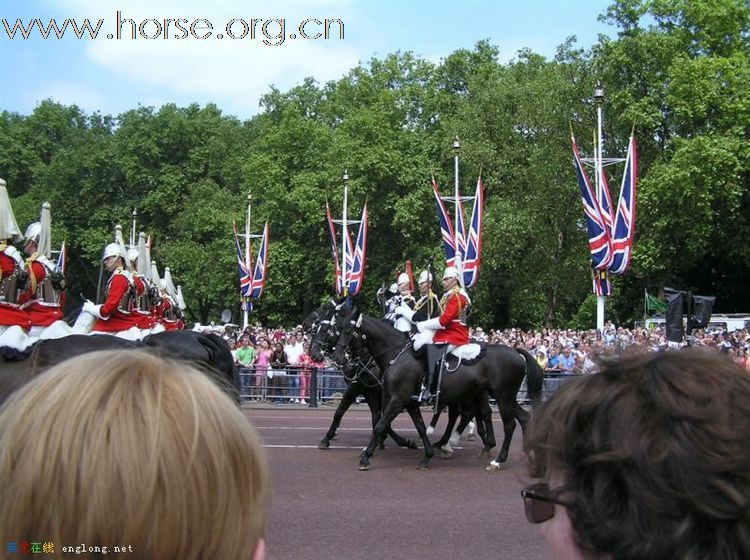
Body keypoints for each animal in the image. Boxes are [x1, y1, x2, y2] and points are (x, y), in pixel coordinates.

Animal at [336, 308, 548, 470]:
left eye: (348, 331)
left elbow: (380, 425)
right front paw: (426, 455)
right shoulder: (409, 402)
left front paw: (366, 457)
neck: (396, 355)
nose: (340, 359)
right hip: (502, 398)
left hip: (502, 397)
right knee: (522, 418)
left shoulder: (397, 400)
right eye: (339, 329)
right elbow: (420, 427)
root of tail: (516, 352)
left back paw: (496, 460)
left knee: (508, 424)